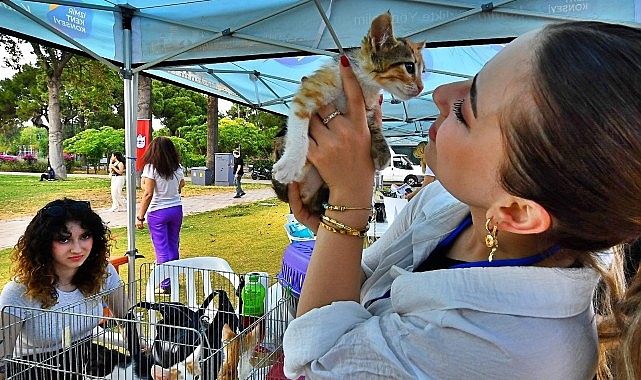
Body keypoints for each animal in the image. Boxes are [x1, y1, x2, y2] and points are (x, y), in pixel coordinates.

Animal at [272, 11, 424, 214]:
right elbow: (298, 131)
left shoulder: (367, 108)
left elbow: (373, 126)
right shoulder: (309, 92)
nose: (421, 88)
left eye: (422, 70)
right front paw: (290, 163)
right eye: (409, 67)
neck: (364, 82)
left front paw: (382, 152)